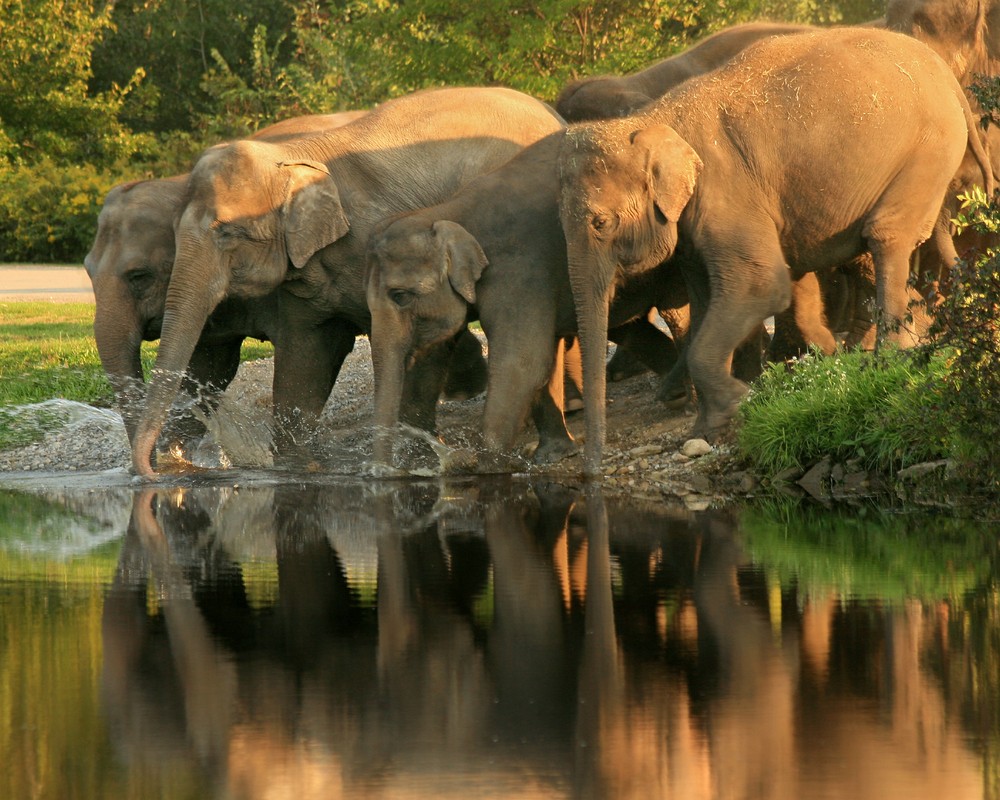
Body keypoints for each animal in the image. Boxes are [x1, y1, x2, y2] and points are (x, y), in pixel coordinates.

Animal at [129, 89, 568, 476]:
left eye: (225, 233)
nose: (154, 471)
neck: (297, 156)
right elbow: (306, 355)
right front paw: (297, 467)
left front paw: (413, 464)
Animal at [364, 128, 700, 472]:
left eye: (400, 296)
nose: (379, 471)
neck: (446, 211)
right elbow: (442, 354)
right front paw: (553, 455)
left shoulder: (521, 270)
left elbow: (522, 362)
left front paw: (484, 465)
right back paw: (675, 393)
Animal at [556, 28, 992, 472]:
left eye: (600, 223)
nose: (590, 471)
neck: (651, 118)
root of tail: (947, 76)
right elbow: (706, 299)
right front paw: (710, 425)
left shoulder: (725, 191)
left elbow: (759, 285)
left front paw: (738, 402)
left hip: (928, 152)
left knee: (886, 237)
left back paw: (885, 359)